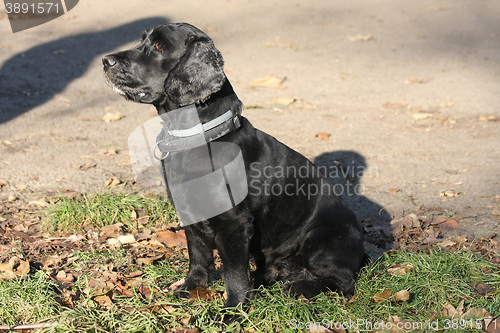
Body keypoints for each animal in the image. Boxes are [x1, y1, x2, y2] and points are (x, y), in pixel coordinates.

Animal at [102, 22, 368, 306]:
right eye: (142, 40)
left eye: (159, 46)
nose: (106, 61)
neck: (198, 137)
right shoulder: (190, 210)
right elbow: (198, 254)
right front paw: (192, 287)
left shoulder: (233, 223)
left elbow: (234, 272)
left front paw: (234, 308)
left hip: (321, 237)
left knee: (343, 283)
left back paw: (299, 288)